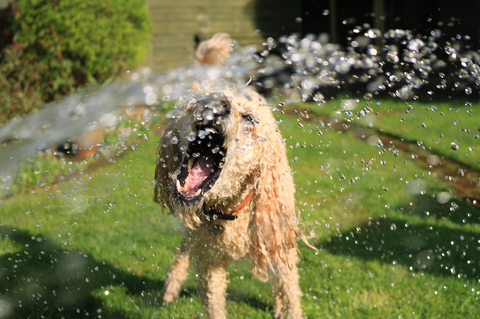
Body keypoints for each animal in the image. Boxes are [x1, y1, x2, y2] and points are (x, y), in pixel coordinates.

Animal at [152, 33, 314, 318]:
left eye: (249, 118)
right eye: (194, 103)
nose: (215, 103)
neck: (229, 210)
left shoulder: (279, 242)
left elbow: (290, 294)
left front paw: (286, 308)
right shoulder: (209, 263)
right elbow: (214, 303)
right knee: (185, 245)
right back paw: (173, 283)